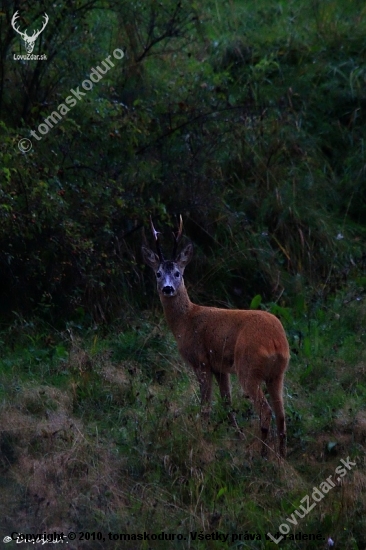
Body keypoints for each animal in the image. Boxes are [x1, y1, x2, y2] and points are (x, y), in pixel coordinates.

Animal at [142, 218, 290, 460]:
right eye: (158, 273)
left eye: (178, 273)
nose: (168, 288)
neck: (186, 321)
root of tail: (276, 342)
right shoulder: (221, 367)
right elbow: (227, 402)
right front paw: (237, 436)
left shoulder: (201, 361)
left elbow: (205, 405)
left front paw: (201, 434)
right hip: (277, 374)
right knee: (282, 413)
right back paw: (281, 457)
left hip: (248, 367)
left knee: (266, 410)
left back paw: (262, 453)